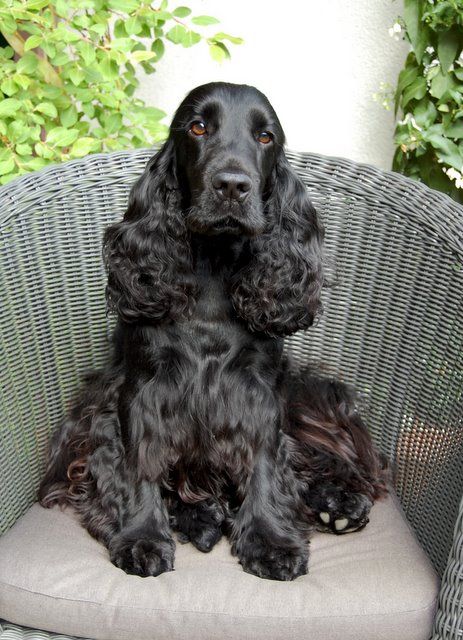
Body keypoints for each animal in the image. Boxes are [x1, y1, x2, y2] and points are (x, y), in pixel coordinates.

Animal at [39, 82, 388, 584]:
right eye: (198, 127)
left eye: (265, 136)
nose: (232, 186)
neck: (212, 270)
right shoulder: (140, 392)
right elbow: (139, 463)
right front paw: (142, 536)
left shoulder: (258, 392)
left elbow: (265, 461)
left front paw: (270, 539)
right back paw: (202, 517)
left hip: (306, 397)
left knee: (337, 457)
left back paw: (339, 503)